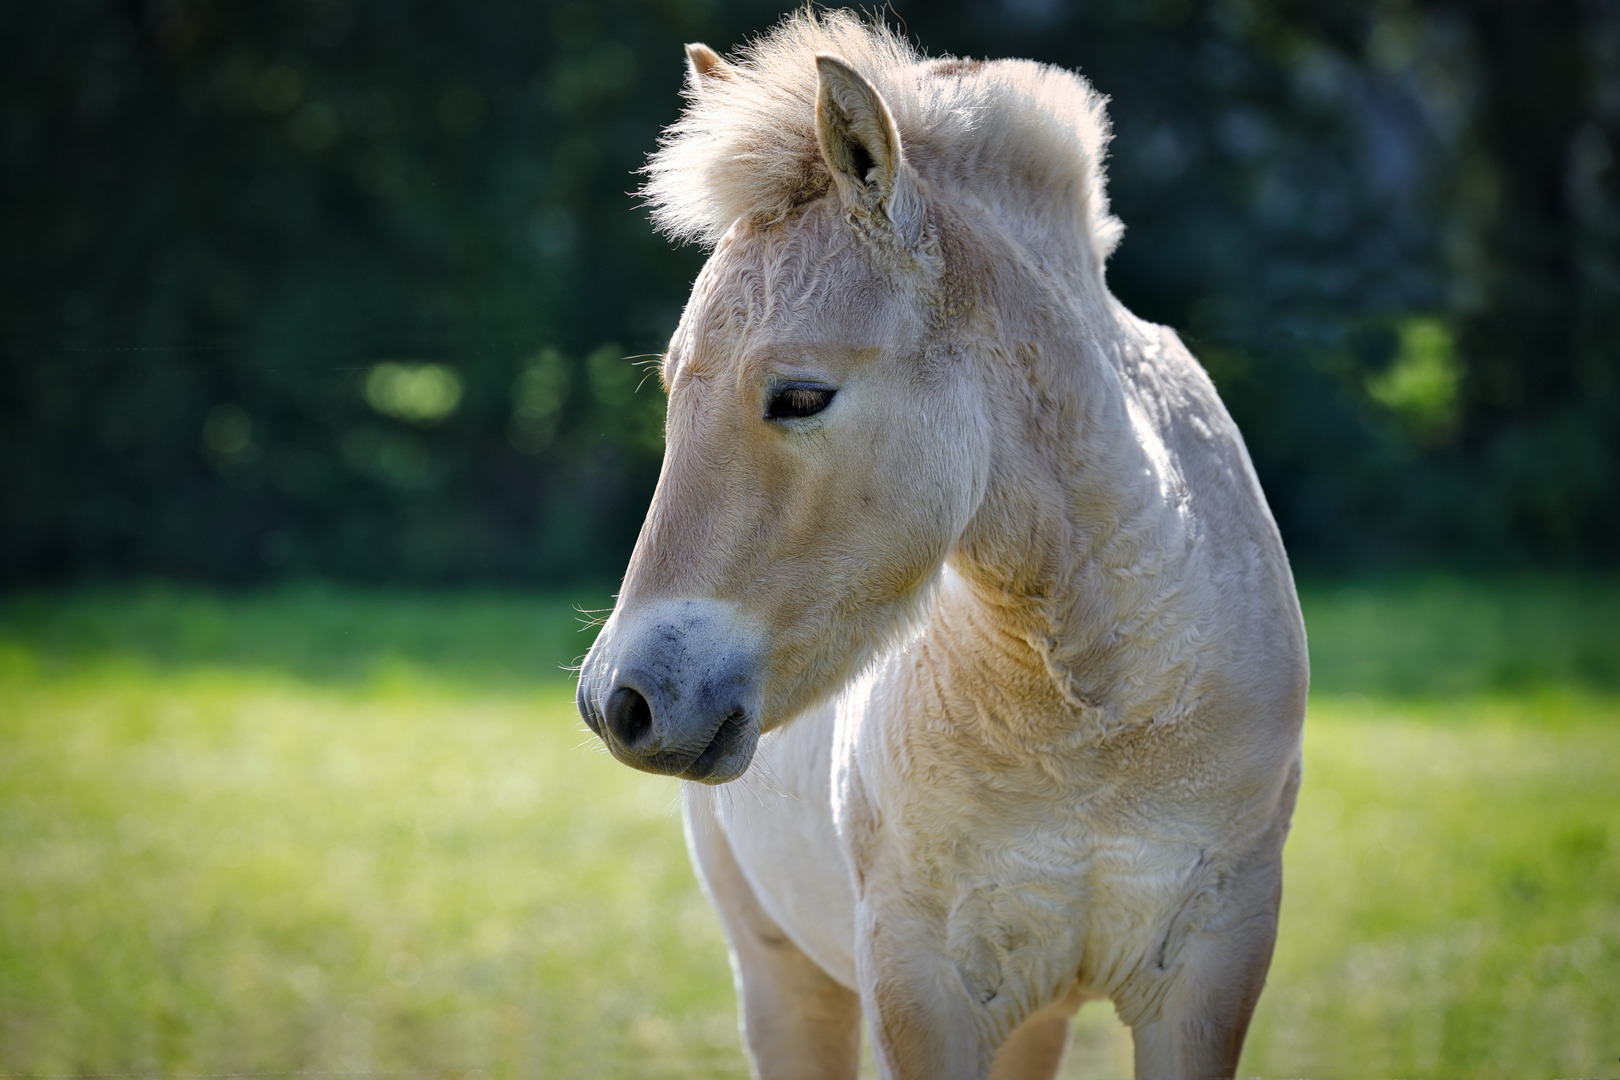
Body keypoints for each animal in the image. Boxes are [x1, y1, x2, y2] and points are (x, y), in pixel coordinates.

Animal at [576, 10, 1308, 1080]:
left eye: (801, 395)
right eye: (674, 388)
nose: (619, 700)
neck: (1104, 714)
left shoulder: (1211, 973)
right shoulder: (918, 988)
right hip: (784, 981)